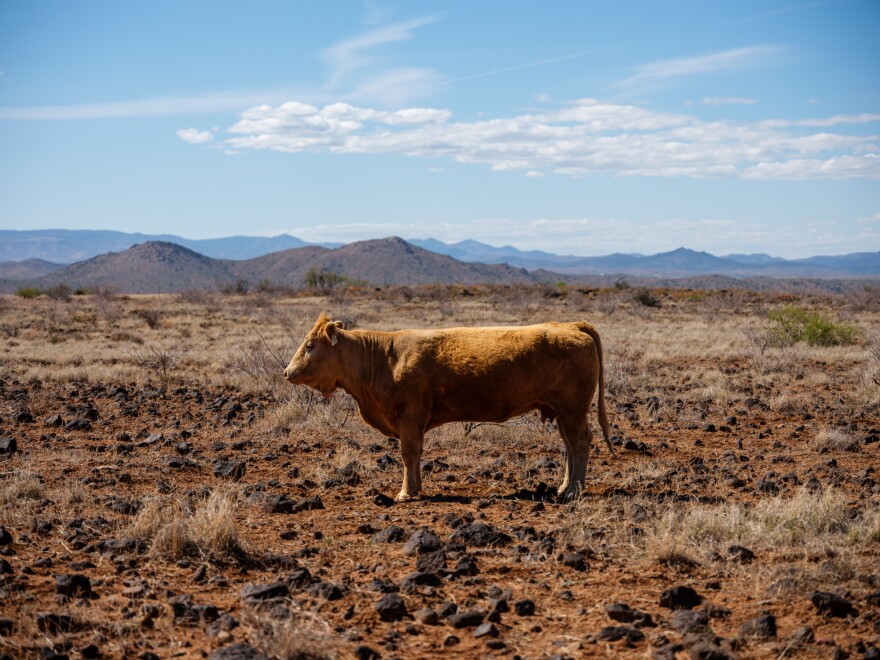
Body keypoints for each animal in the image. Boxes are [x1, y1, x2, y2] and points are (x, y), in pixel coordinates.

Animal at [284, 313, 613, 502]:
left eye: (310, 346)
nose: (287, 372)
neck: (383, 358)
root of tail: (570, 326)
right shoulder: (413, 422)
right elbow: (415, 454)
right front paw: (415, 488)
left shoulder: (409, 416)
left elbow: (408, 454)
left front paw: (405, 493)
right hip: (562, 411)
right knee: (569, 445)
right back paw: (563, 487)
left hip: (572, 409)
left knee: (580, 443)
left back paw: (573, 491)